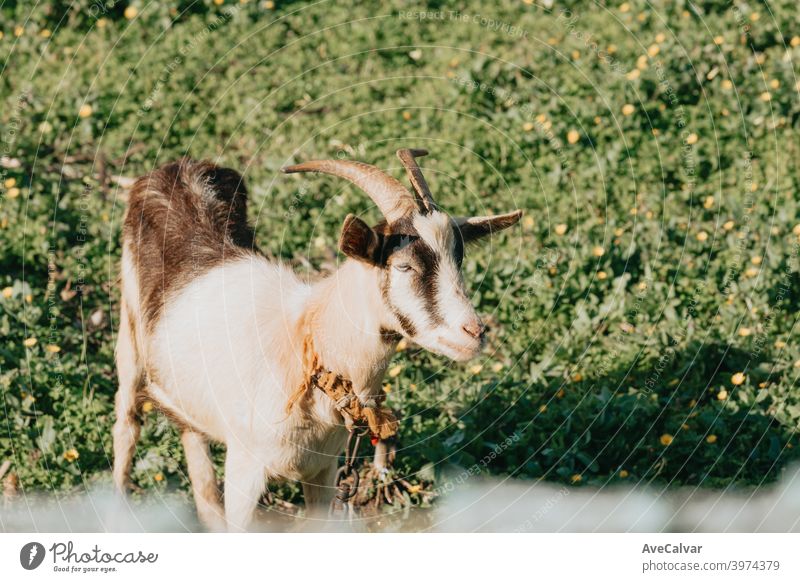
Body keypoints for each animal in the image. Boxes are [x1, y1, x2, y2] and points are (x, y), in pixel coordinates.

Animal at [115, 148, 520, 532]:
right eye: (403, 266)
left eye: (458, 260)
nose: (474, 332)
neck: (307, 344)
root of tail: (178, 167)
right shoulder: (245, 468)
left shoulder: (323, 472)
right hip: (128, 332)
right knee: (127, 421)